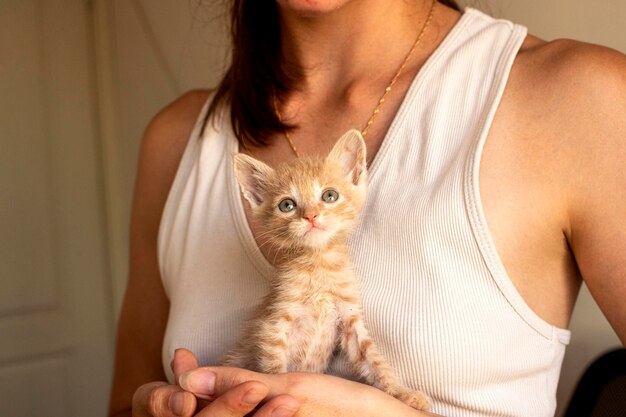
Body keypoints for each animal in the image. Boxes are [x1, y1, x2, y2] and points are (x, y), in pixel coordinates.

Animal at [225, 128, 428, 408]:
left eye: (329, 196)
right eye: (286, 205)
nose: (311, 216)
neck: (319, 265)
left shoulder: (349, 317)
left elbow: (374, 360)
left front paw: (401, 392)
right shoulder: (274, 322)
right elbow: (274, 367)